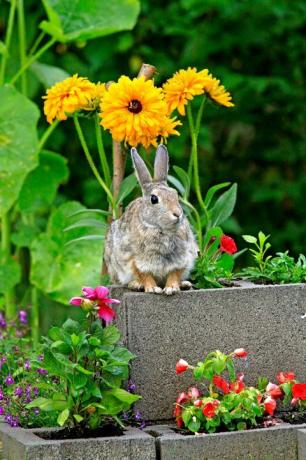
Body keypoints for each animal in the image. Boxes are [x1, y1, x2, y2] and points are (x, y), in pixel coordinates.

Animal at [104, 144, 197, 294]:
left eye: (175, 194)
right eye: (154, 199)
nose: (177, 214)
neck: (160, 229)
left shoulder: (182, 258)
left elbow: (174, 273)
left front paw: (171, 288)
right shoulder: (134, 260)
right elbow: (144, 274)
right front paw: (152, 288)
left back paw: (184, 284)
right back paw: (135, 285)